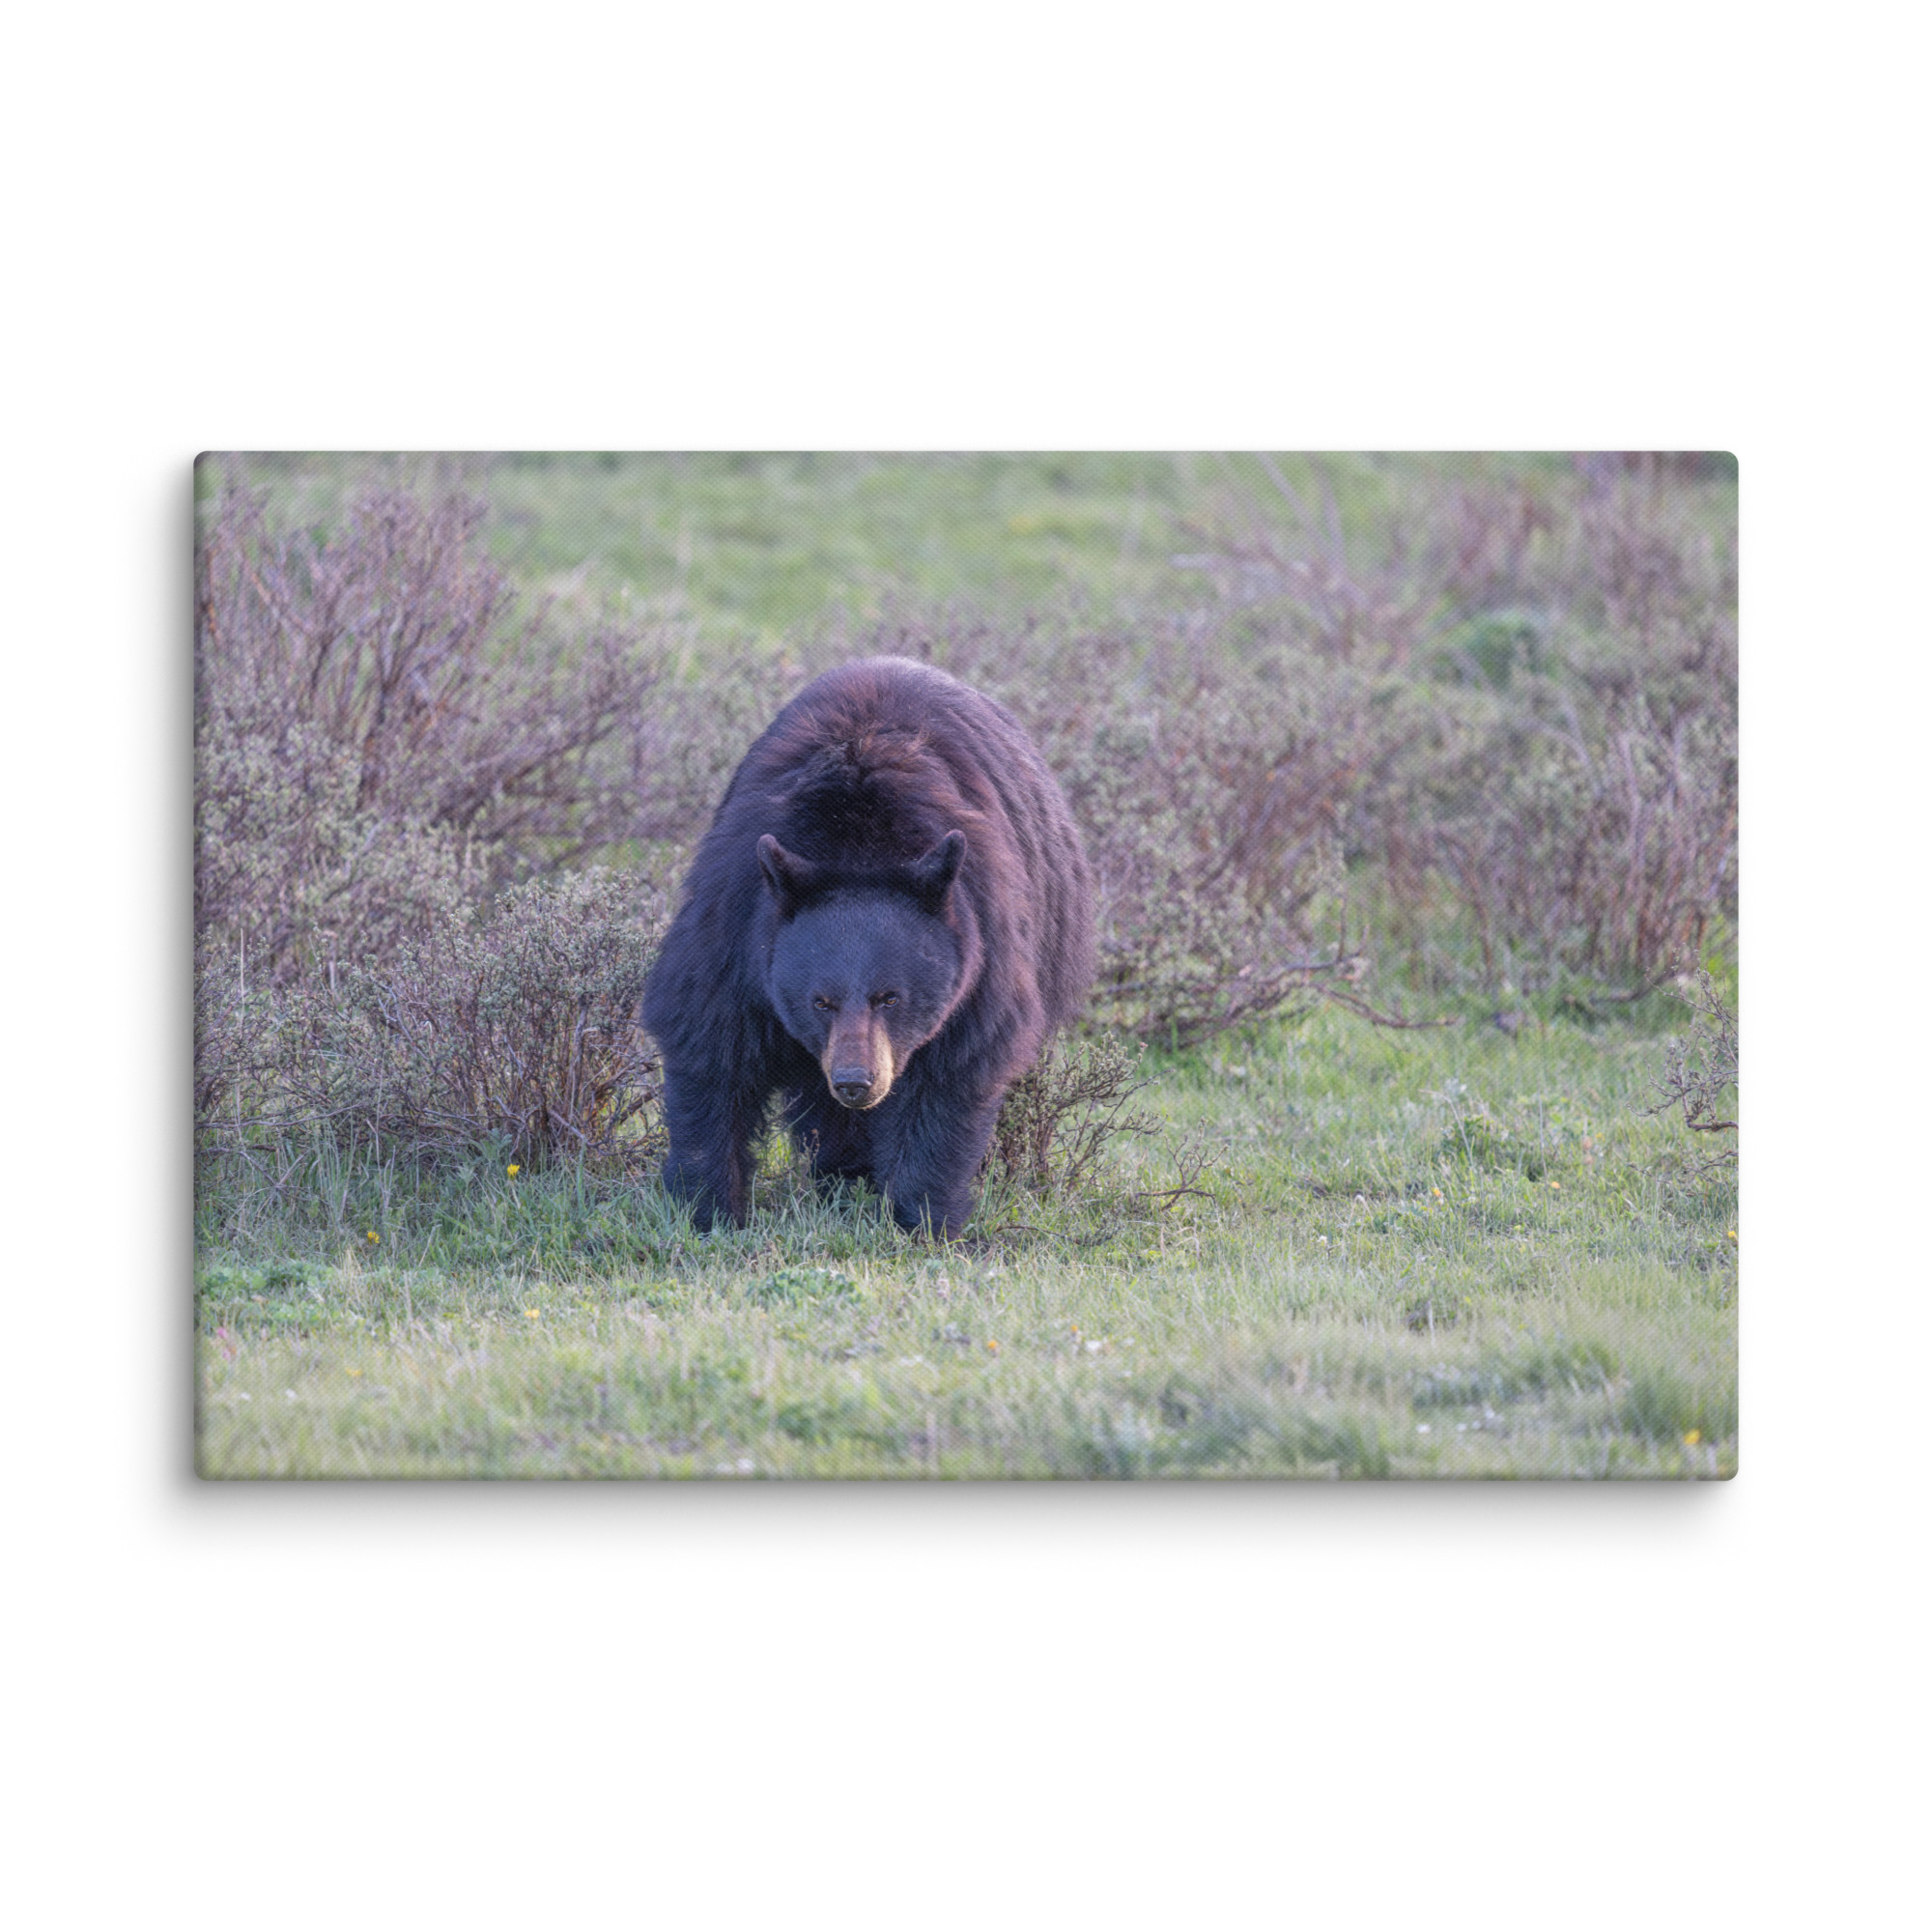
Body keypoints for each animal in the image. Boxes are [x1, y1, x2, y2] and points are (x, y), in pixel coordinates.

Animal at [641, 656, 1095, 1238]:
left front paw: (923, 1219)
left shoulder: (981, 946)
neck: (858, 843)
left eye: (891, 997)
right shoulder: (737, 925)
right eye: (820, 1001)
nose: (857, 1082)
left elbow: (950, 1075)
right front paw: (708, 1209)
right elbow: (710, 1046)